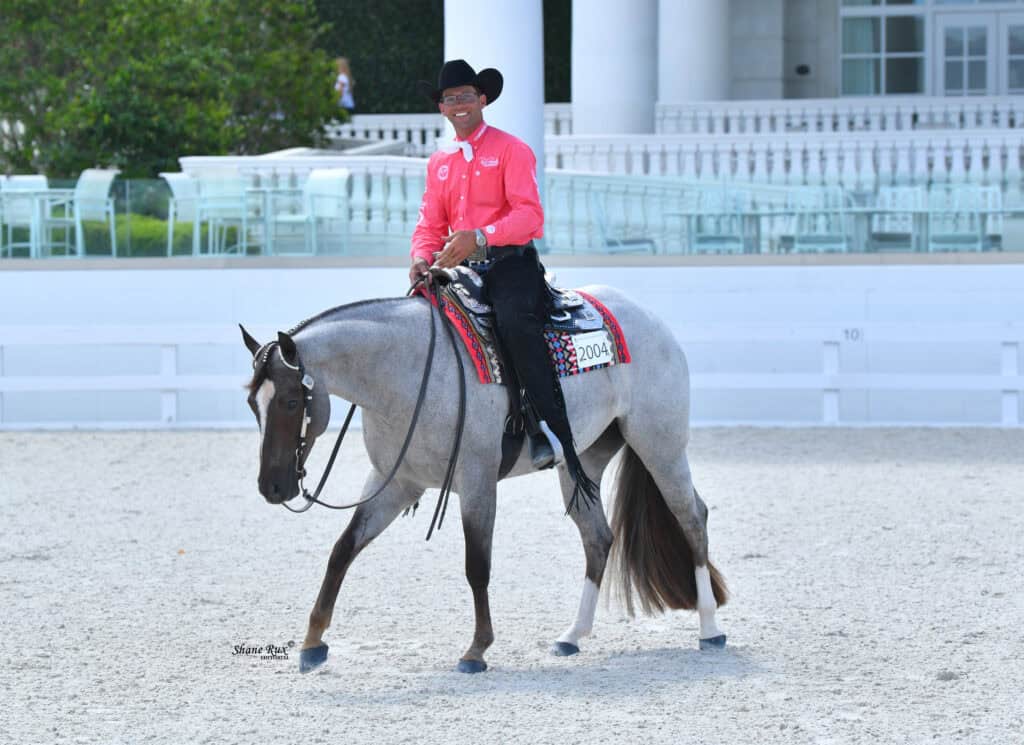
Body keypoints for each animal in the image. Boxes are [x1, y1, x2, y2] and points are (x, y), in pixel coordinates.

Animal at [240, 284, 729, 674]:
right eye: (251, 403)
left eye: (289, 401)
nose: (271, 488)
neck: (407, 370)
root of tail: (649, 318)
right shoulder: (396, 483)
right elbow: (343, 551)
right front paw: (312, 642)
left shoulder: (476, 481)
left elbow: (477, 565)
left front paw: (476, 649)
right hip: (583, 464)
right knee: (598, 538)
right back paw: (572, 635)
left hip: (660, 446)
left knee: (693, 517)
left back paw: (709, 628)